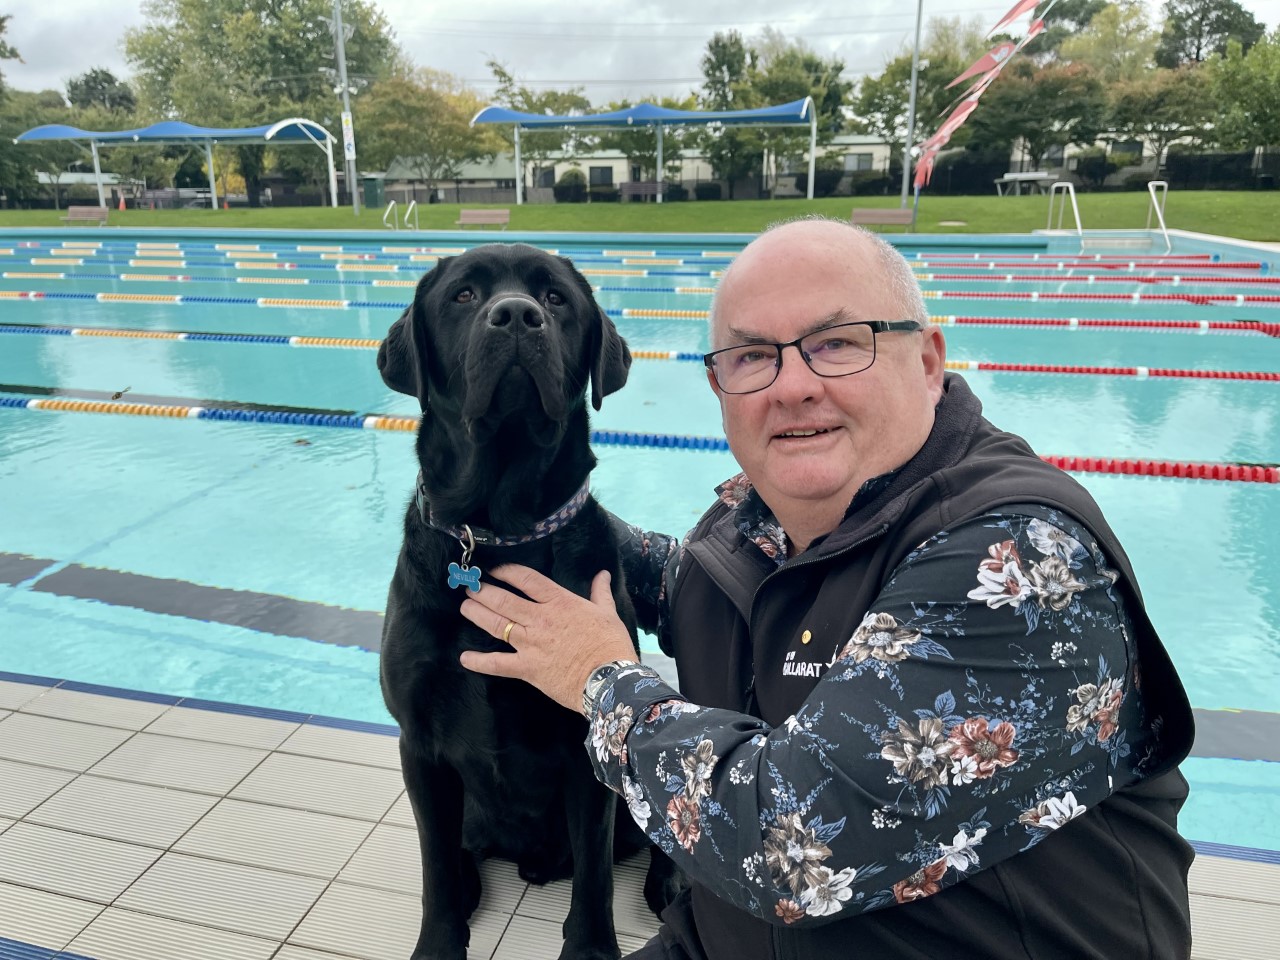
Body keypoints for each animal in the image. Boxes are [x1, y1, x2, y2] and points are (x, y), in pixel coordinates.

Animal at [376, 244, 675, 960]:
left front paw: (591, 949)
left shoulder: (589, 739)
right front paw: (438, 943)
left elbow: (593, 874)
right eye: (462, 295)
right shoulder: (418, 743)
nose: (516, 315)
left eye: (556, 298)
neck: (496, 535)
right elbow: (433, 865)